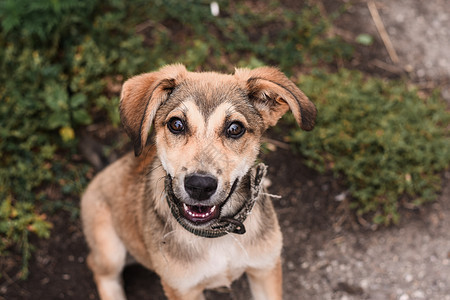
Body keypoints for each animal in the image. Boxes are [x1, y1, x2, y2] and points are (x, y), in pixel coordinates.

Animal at [81, 63, 314, 300]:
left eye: (235, 128)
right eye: (176, 124)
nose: (199, 186)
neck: (215, 235)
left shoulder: (265, 268)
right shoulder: (182, 289)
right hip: (109, 248)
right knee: (98, 268)